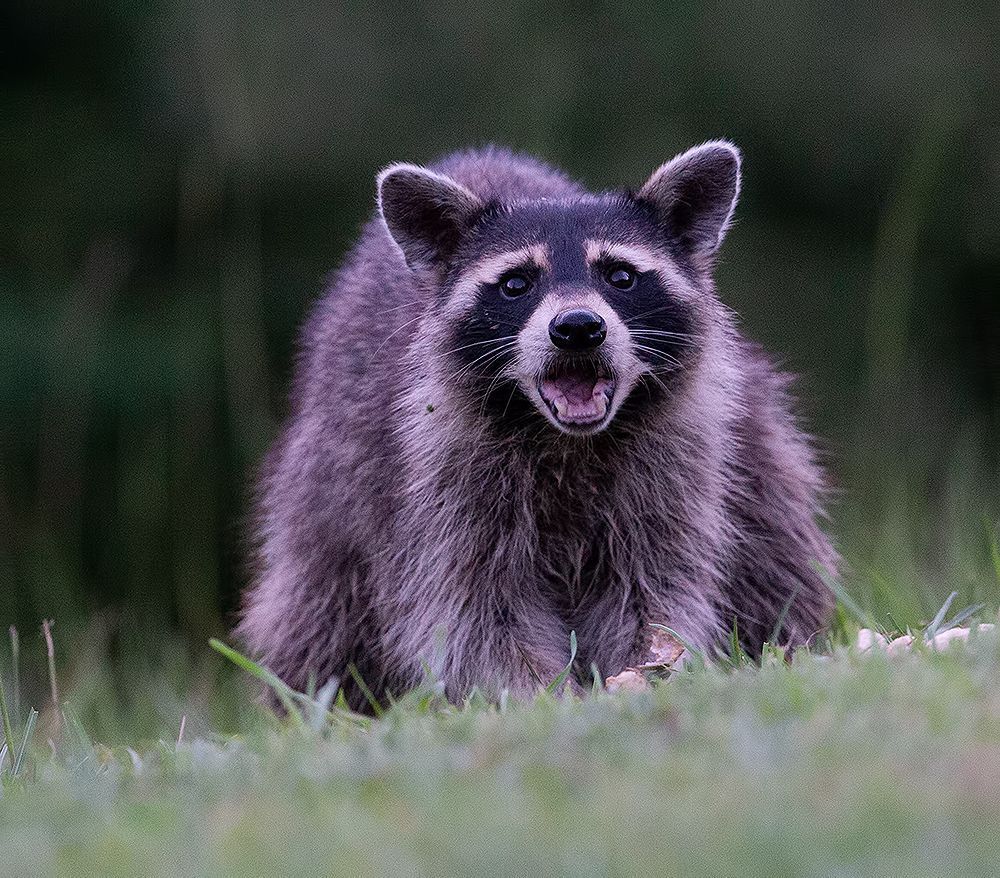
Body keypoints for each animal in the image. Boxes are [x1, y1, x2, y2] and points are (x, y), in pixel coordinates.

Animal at [238, 142, 837, 706]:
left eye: (621, 275)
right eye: (515, 284)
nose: (577, 327)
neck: (569, 441)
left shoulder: (677, 461)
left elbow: (655, 587)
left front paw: (644, 670)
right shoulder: (432, 486)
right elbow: (475, 613)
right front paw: (541, 695)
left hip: (754, 439)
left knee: (775, 547)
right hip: (327, 489)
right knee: (317, 613)